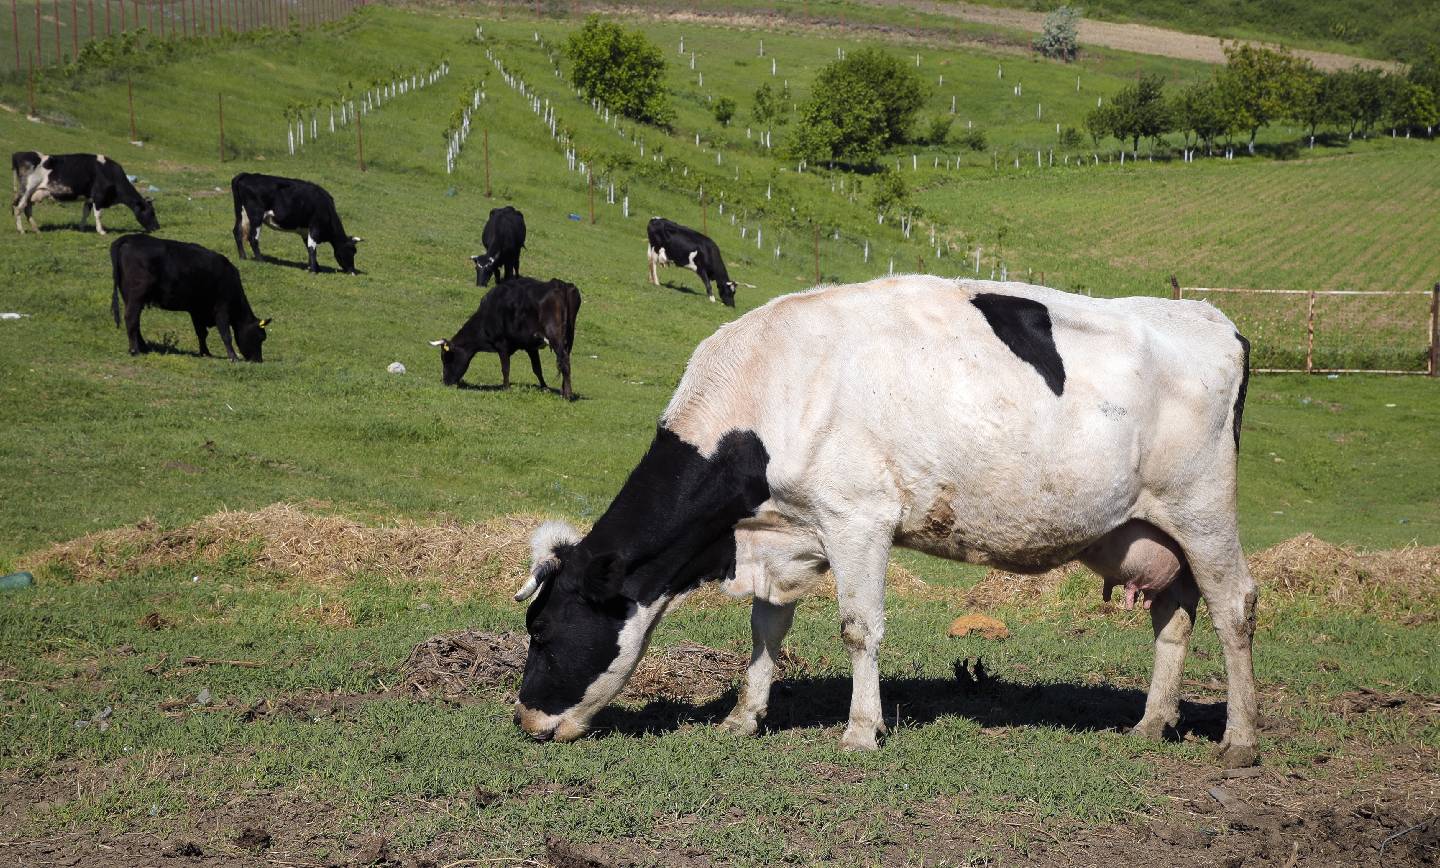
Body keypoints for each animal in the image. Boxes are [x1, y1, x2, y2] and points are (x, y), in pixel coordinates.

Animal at [13, 151, 159, 234]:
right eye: (151, 212)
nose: (157, 227)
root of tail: (20, 154)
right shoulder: (98, 197)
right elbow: (98, 215)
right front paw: (101, 231)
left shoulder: (89, 198)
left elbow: (86, 213)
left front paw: (81, 228)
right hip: (26, 190)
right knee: (18, 207)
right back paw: (21, 230)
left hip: (32, 193)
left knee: (27, 209)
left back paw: (36, 229)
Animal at [109, 234, 270, 362]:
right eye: (260, 337)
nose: (258, 360)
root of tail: (129, 238)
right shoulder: (221, 308)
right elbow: (225, 334)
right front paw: (233, 357)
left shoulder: (196, 310)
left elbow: (201, 333)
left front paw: (205, 353)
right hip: (136, 296)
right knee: (131, 319)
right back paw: (135, 350)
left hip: (130, 297)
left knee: (136, 322)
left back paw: (143, 347)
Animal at [230, 172, 362, 273]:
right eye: (352, 251)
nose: (352, 271)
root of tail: (247, 175)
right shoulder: (315, 226)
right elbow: (312, 248)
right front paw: (313, 270)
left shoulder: (305, 231)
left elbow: (308, 247)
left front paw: (315, 267)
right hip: (256, 215)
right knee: (253, 238)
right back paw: (261, 260)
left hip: (241, 213)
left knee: (237, 231)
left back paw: (243, 257)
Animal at [426, 277, 578, 400]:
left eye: (446, 358)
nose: (446, 381)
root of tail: (559, 284)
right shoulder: (530, 346)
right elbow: (537, 369)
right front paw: (544, 387)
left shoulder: (502, 344)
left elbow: (505, 368)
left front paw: (506, 388)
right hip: (569, 338)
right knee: (565, 361)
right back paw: (563, 390)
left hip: (555, 336)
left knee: (564, 362)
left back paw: (567, 395)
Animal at [509, 276, 1261, 765]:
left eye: (541, 630)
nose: (524, 719)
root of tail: (1212, 319)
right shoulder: (785, 534)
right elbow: (765, 629)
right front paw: (743, 718)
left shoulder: (858, 517)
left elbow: (858, 628)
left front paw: (860, 731)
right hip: (1154, 531)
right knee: (1175, 617)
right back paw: (1152, 723)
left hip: (1202, 509)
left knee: (1234, 607)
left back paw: (1241, 739)